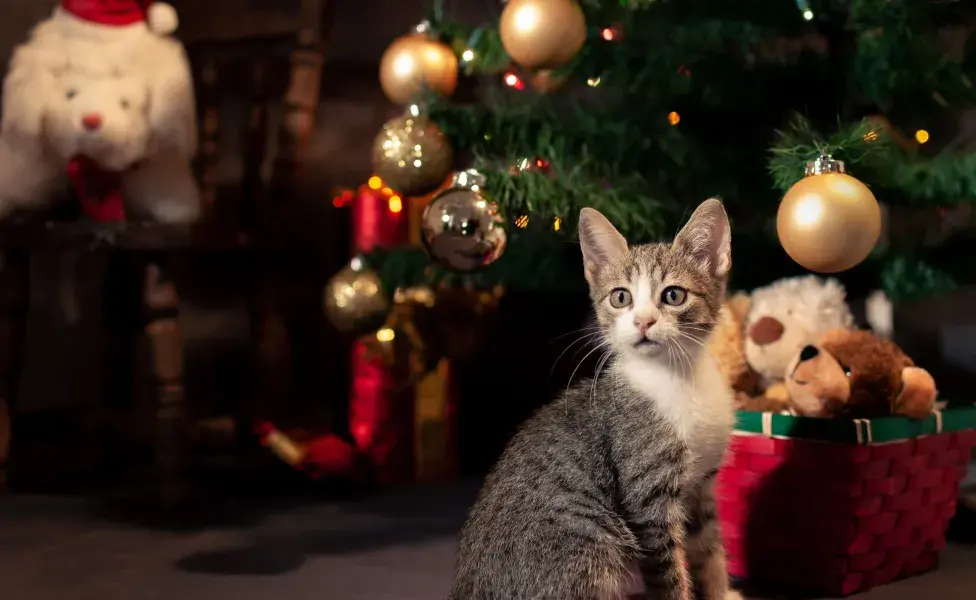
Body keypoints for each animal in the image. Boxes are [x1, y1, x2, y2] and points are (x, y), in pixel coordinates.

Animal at [450, 200, 740, 600]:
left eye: (673, 295)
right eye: (621, 297)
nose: (643, 322)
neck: (679, 379)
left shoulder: (702, 486)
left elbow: (709, 547)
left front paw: (721, 591)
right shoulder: (647, 496)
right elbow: (668, 573)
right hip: (588, 541)